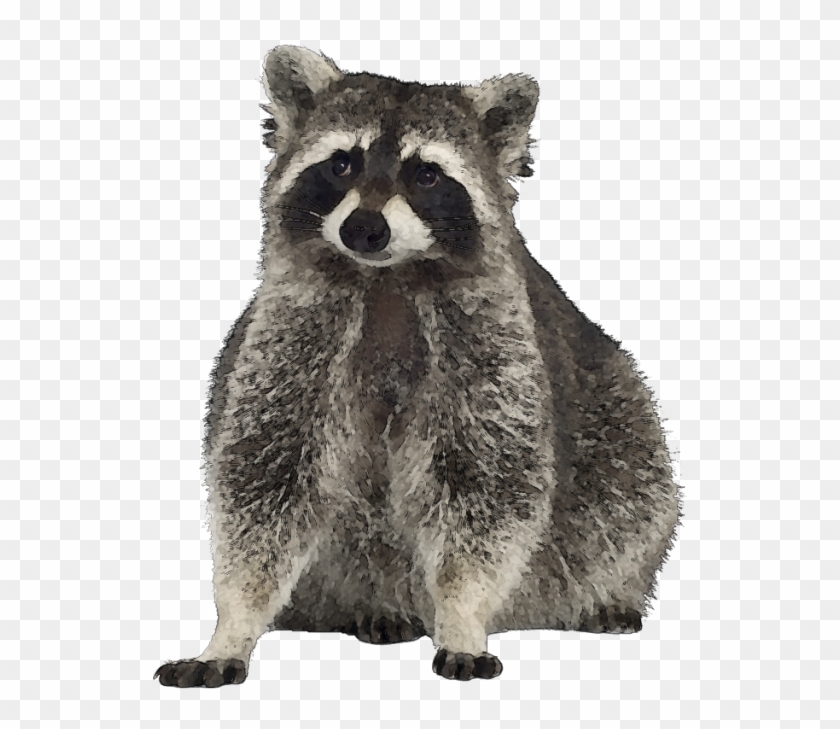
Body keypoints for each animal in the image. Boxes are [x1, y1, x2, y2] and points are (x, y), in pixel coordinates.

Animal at [154, 45, 680, 686]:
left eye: (425, 174)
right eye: (342, 165)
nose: (364, 228)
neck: (386, 278)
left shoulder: (489, 344)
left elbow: (488, 486)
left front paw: (461, 614)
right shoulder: (295, 334)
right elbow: (265, 479)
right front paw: (233, 625)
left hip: (623, 421)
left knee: (636, 488)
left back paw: (609, 592)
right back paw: (374, 609)